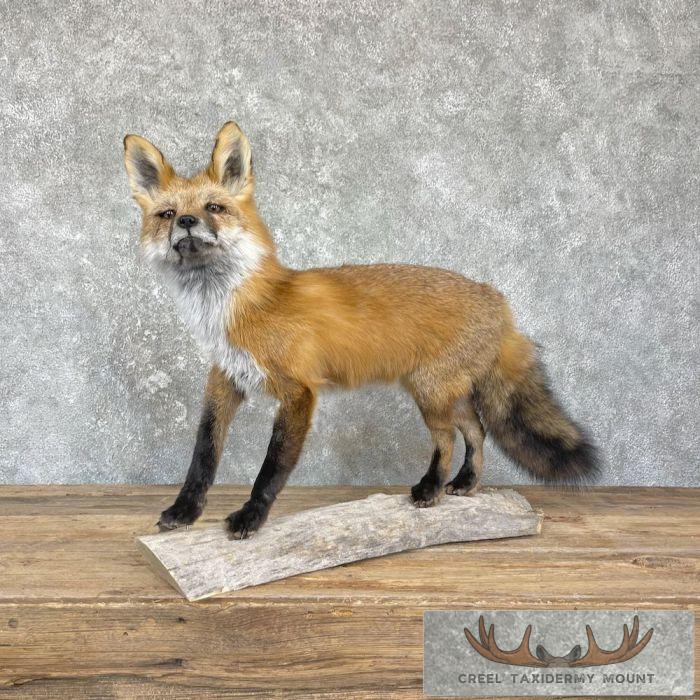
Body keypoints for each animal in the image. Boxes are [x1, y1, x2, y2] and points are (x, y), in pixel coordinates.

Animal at [123, 121, 599, 539]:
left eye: (214, 208)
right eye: (168, 214)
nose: (186, 222)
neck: (237, 309)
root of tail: (498, 300)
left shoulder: (298, 392)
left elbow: (271, 468)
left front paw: (252, 517)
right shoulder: (225, 381)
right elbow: (203, 456)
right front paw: (185, 511)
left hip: (429, 391)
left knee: (447, 439)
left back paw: (431, 489)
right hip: (443, 391)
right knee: (476, 431)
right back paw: (465, 484)